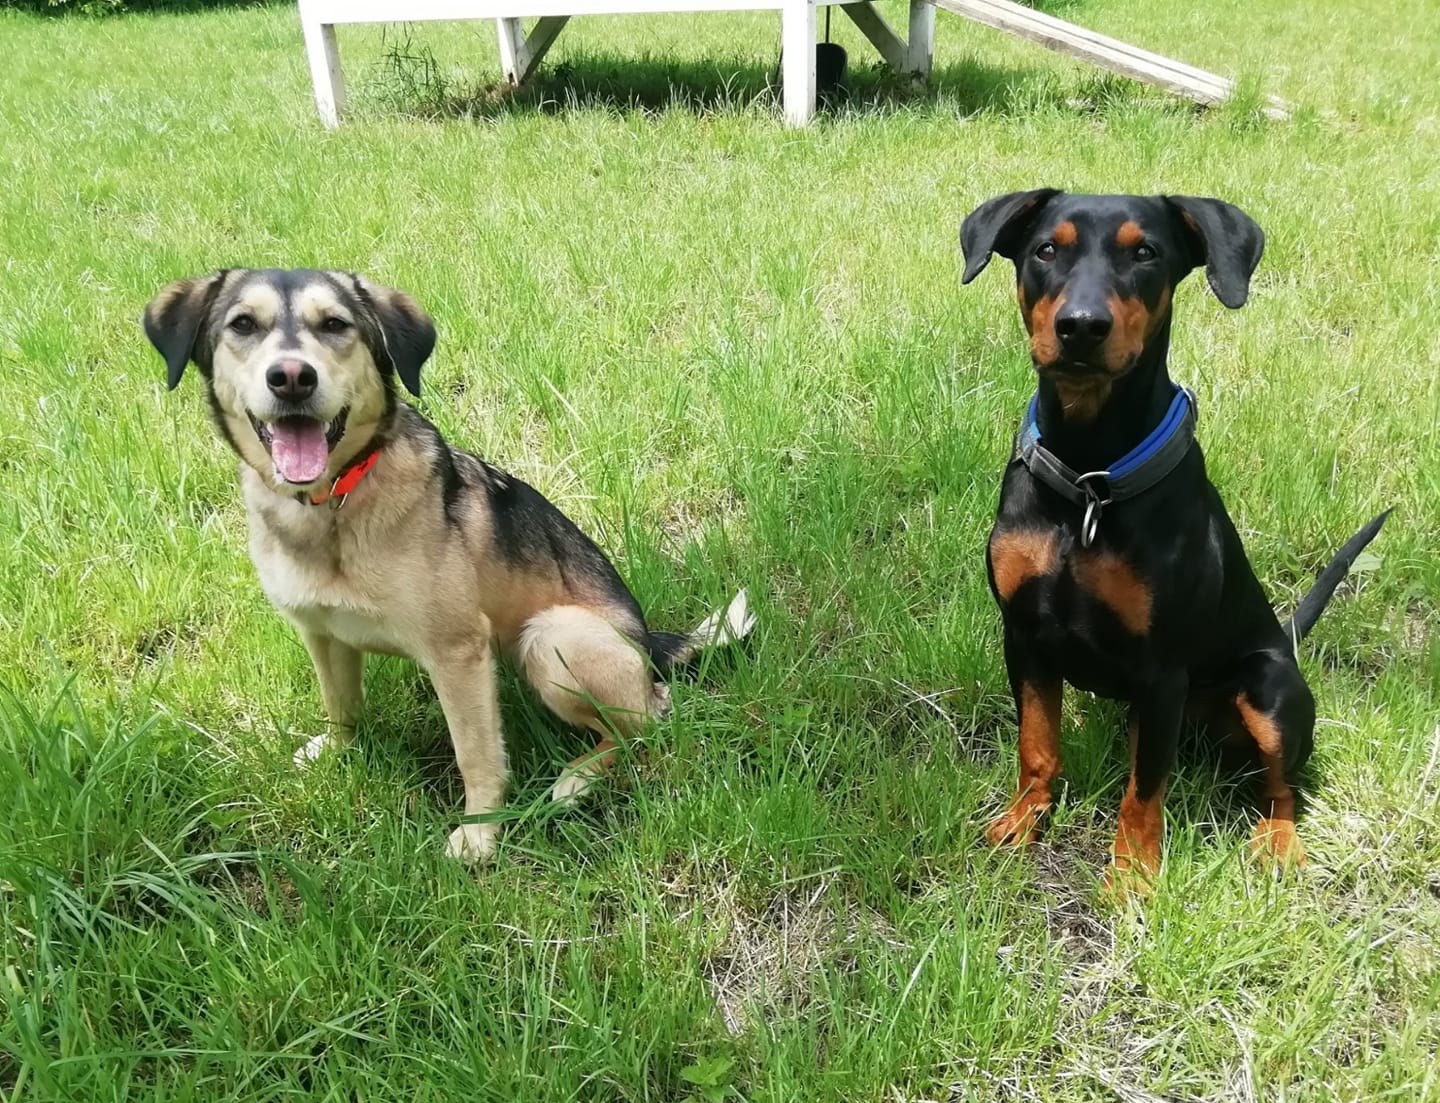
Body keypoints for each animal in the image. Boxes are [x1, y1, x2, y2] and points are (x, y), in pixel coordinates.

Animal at [143, 268, 753, 863]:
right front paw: (338, 751)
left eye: (335, 324)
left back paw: (575, 781)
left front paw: (480, 836)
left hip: (551, 638)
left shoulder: (456, 653)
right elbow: (341, 706)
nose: (292, 378)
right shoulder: (321, 634)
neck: (334, 503)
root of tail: (650, 642)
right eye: (243, 324)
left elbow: (475, 754)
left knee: (647, 720)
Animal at [959, 190, 1387, 893]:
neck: (1088, 481)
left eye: (1146, 252)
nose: (1081, 327)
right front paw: (1023, 820)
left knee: (1279, 787)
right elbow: (1037, 745)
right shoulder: (1022, 635)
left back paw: (1279, 844)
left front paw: (1134, 876)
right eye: (1046, 249)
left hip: (1268, 690)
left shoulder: (1160, 670)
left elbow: (1144, 789)